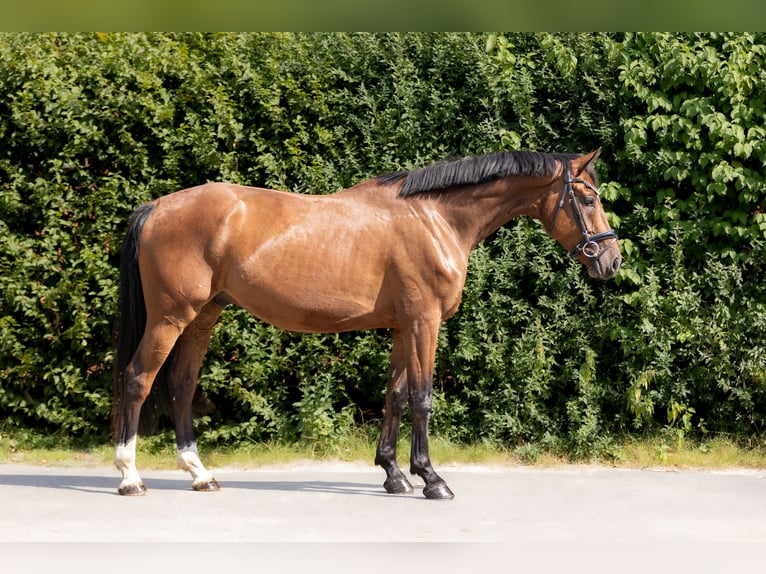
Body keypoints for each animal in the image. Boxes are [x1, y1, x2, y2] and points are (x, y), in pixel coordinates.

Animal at [111, 148, 621, 499]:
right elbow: (421, 398)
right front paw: (431, 478)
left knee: (180, 385)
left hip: (203, 316)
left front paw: (394, 474)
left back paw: (200, 474)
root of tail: (158, 206)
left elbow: (394, 396)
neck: (435, 217)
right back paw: (130, 476)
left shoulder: (403, 325)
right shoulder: (424, 321)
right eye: (587, 198)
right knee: (138, 379)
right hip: (170, 317)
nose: (612, 260)